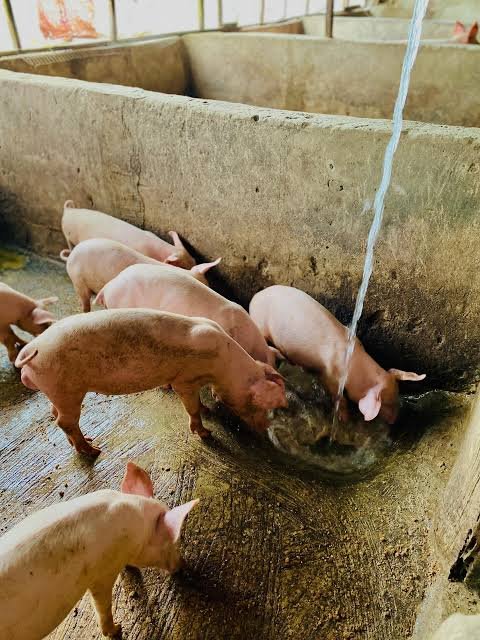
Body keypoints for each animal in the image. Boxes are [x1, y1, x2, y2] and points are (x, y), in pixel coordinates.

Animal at [15, 309, 286, 456]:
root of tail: (33, 347)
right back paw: (94, 451)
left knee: (56, 415)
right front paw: (206, 433)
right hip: (67, 389)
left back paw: (87, 442)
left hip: (58, 392)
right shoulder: (183, 379)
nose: (265, 431)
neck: (224, 365)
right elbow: (191, 406)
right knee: (64, 421)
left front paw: (208, 409)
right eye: (261, 407)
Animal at [249, 285, 425, 425]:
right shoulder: (329, 375)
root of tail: (255, 297)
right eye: (386, 403)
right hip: (260, 324)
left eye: (397, 395)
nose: (395, 421)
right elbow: (339, 397)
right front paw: (344, 418)